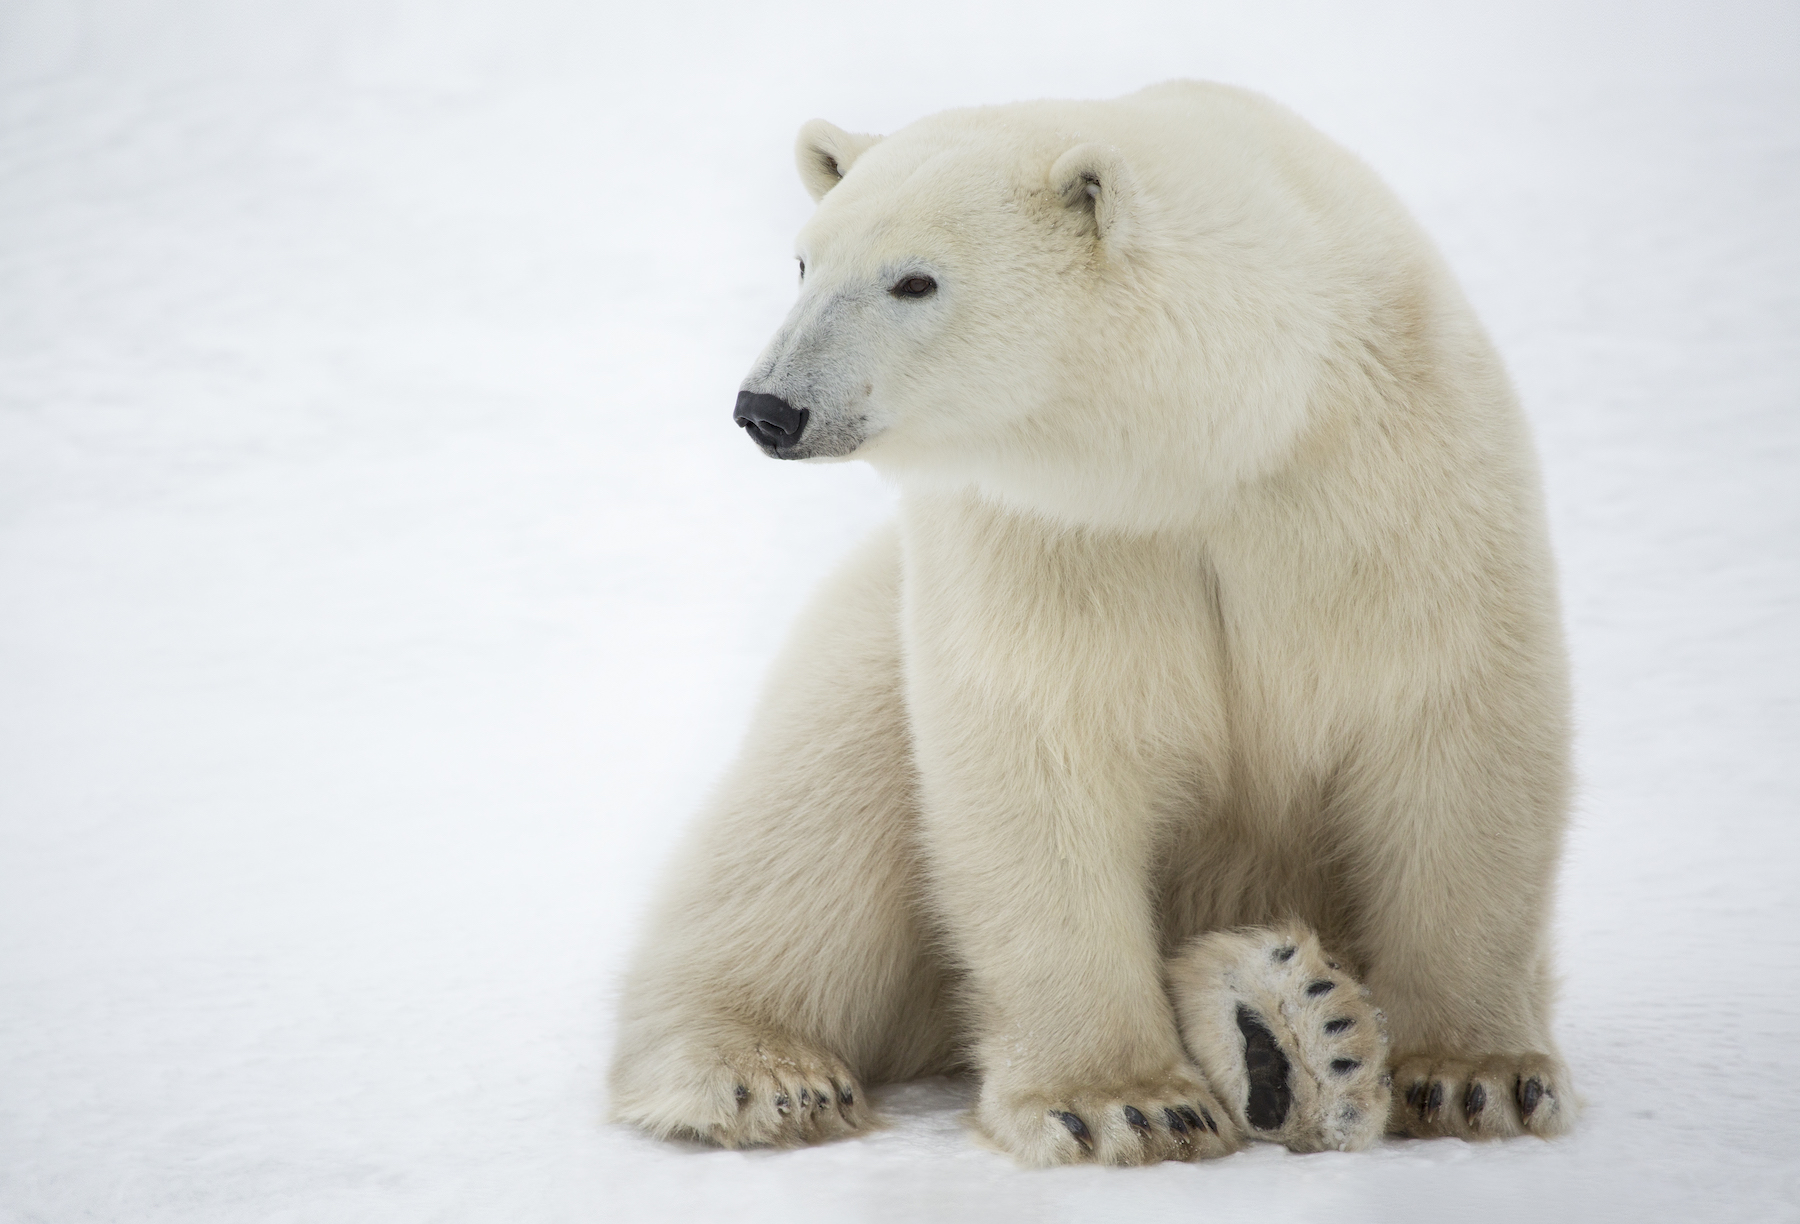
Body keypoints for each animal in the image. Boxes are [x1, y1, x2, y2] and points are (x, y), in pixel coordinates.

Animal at [608, 80, 1574, 1166]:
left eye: (916, 280)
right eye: (806, 261)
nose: (767, 408)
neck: (1228, 438)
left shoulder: (1400, 483)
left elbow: (1453, 735)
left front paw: (1476, 1076)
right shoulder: (1054, 537)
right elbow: (1047, 755)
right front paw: (1126, 1102)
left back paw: (1294, 1032)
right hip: (868, 636)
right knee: (816, 817)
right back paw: (767, 1073)